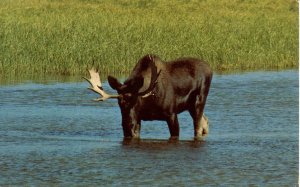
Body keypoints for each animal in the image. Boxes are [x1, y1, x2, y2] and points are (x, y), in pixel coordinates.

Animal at [84, 54, 213, 140]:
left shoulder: (171, 114)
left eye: (135, 101)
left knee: (198, 126)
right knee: (205, 121)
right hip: (190, 107)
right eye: (119, 102)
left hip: (199, 100)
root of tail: (210, 69)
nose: (126, 126)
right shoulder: (139, 118)